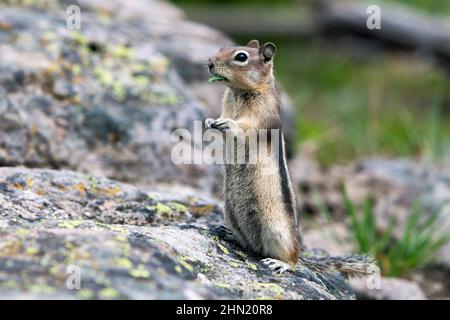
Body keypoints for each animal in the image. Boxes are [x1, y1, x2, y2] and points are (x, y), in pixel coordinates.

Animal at [206, 38, 374, 276]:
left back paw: (281, 263)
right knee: (248, 242)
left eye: (241, 57)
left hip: (277, 229)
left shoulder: (263, 115)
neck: (239, 92)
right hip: (230, 213)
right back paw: (230, 234)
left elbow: (247, 129)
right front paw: (211, 121)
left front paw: (228, 124)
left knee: (291, 257)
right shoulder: (226, 103)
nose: (209, 63)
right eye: (221, 49)